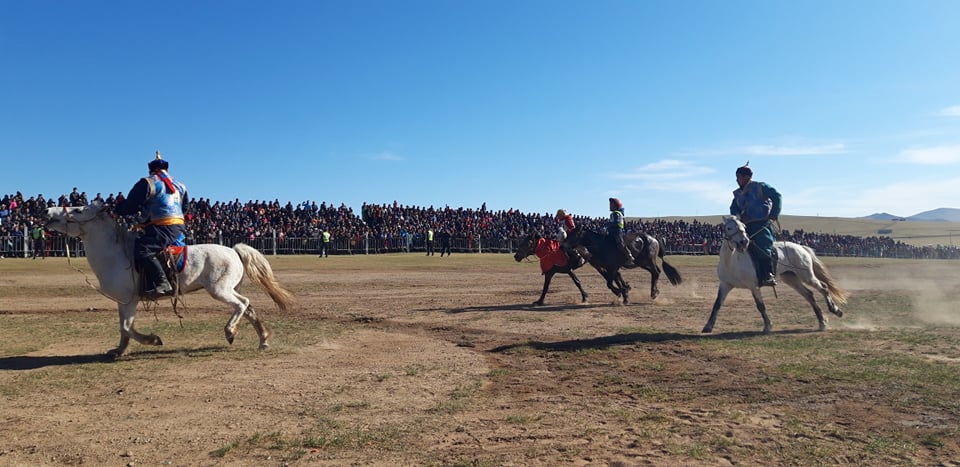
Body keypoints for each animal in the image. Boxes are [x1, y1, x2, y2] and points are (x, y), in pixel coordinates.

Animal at [46, 203, 292, 360]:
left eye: (78, 209)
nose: (47, 211)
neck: (116, 253)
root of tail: (233, 250)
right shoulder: (123, 301)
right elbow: (123, 328)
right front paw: (118, 351)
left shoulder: (130, 301)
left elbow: (127, 327)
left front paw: (153, 340)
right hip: (229, 289)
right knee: (248, 308)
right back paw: (263, 340)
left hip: (220, 290)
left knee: (242, 304)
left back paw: (230, 332)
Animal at [704, 218, 848, 334]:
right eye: (729, 228)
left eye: (744, 226)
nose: (743, 242)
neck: (732, 261)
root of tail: (801, 247)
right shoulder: (725, 285)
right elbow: (717, 304)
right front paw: (708, 326)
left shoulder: (753, 286)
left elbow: (760, 306)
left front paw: (768, 326)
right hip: (790, 278)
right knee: (809, 294)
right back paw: (822, 322)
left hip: (806, 276)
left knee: (823, 287)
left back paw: (835, 310)